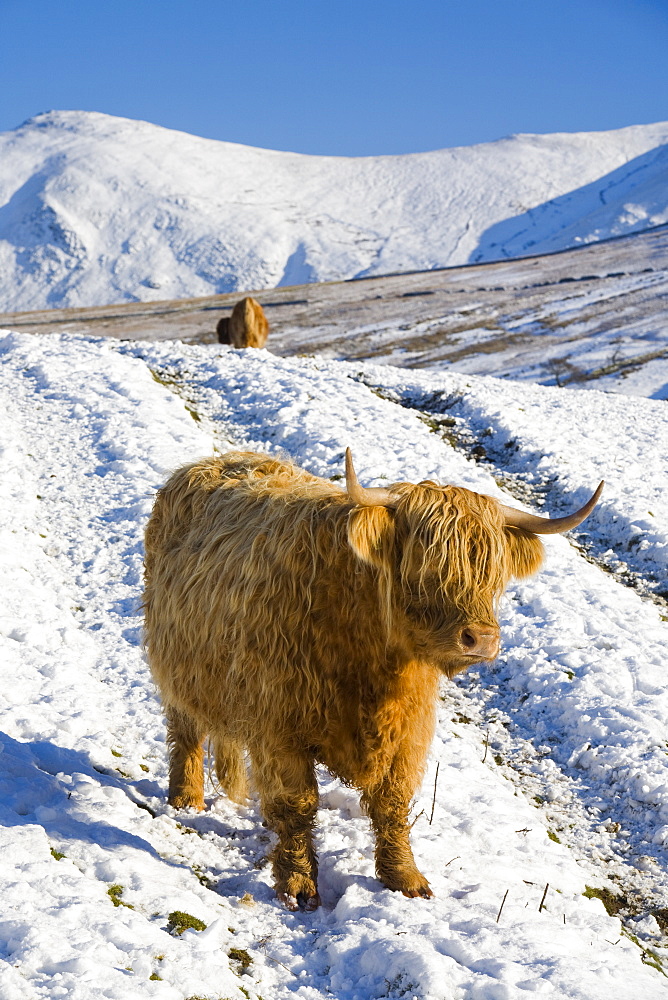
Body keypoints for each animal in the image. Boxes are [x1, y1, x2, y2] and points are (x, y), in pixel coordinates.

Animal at [144, 450, 604, 912]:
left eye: (492, 571)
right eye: (425, 562)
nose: (481, 638)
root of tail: (218, 461)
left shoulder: (409, 728)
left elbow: (392, 803)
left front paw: (405, 877)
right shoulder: (279, 724)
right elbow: (297, 803)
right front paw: (298, 885)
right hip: (176, 662)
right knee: (185, 728)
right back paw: (186, 798)